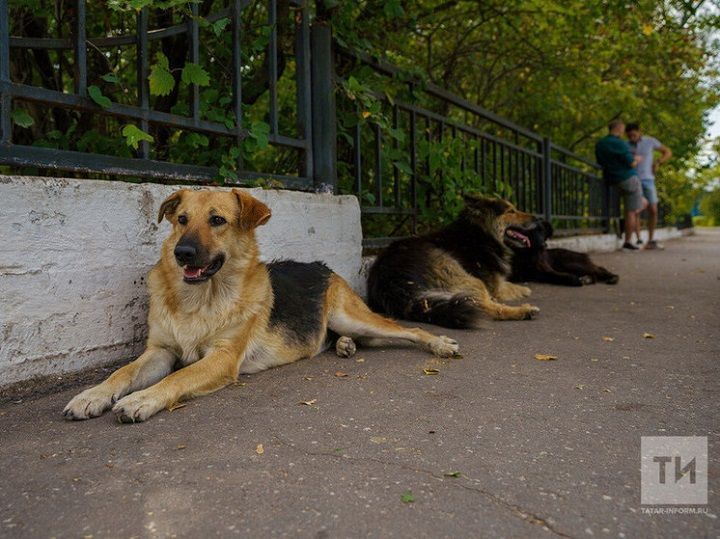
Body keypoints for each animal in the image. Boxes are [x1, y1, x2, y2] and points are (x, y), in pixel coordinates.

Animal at [62, 188, 456, 424]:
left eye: (217, 220)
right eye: (182, 220)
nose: (182, 253)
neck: (200, 300)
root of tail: (323, 266)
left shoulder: (222, 358)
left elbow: (179, 376)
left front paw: (142, 399)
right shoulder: (159, 351)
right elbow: (122, 372)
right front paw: (92, 395)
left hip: (352, 315)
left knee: (408, 330)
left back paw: (439, 344)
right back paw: (343, 346)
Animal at [368, 195, 544, 330]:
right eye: (510, 211)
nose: (538, 218)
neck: (482, 234)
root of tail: (390, 280)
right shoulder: (495, 287)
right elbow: (510, 287)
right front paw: (524, 290)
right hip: (462, 274)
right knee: (485, 307)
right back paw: (524, 311)